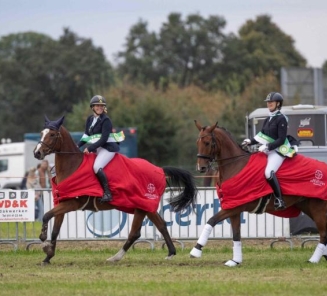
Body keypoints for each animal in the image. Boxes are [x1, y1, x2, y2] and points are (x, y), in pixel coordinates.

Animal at [34, 115, 197, 264]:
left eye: (52, 134)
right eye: (41, 132)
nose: (37, 153)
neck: (72, 166)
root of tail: (160, 170)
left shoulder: (72, 203)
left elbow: (46, 216)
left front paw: (43, 241)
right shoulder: (62, 202)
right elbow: (55, 230)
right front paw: (48, 256)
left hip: (142, 205)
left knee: (135, 233)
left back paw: (115, 257)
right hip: (146, 206)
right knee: (161, 224)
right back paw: (171, 253)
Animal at [190, 120, 327, 266]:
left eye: (207, 143)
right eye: (197, 142)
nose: (201, 167)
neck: (236, 166)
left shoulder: (233, 207)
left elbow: (211, 220)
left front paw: (196, 250)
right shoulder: (233, 208)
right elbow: (236, 234)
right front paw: (235, 261)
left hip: (318, 208)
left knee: (323, 234)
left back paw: (313, 260)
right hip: (307, 206)